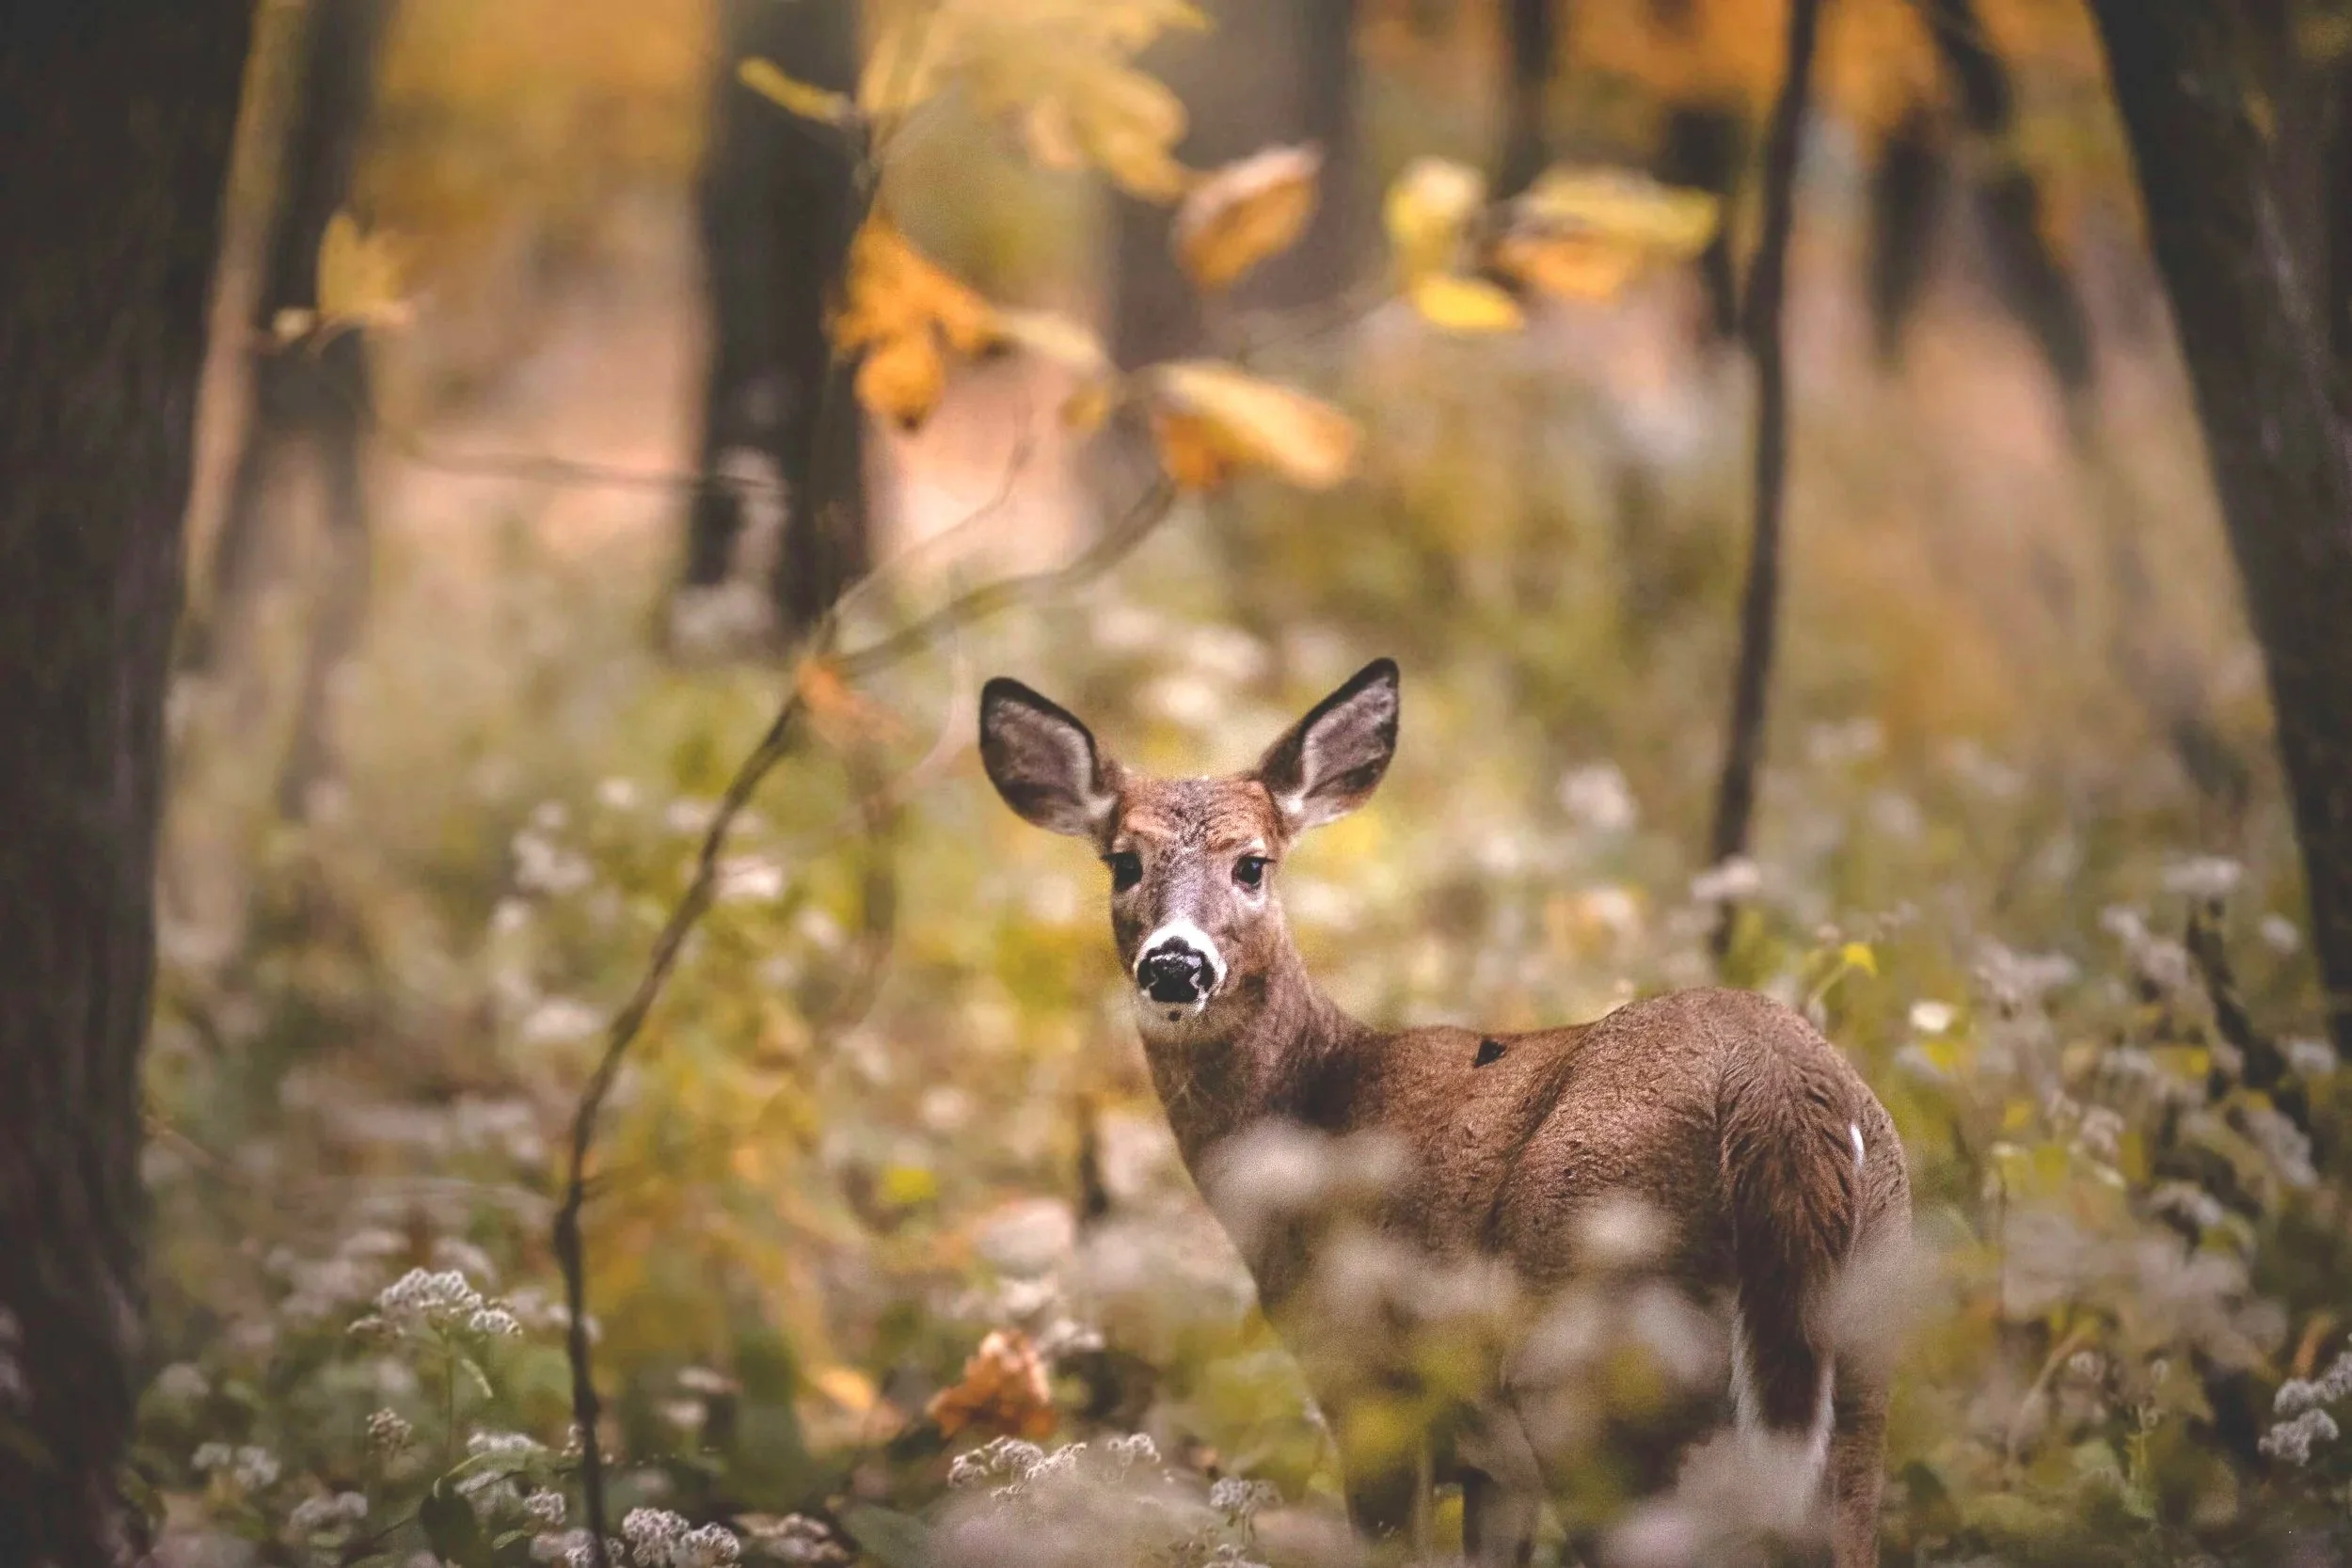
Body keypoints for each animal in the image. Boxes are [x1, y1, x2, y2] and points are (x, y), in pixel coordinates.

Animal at [978, 657, 1912, 1567]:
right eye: (1121, 862)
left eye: (1253, 863)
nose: (1175, 965)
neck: (1319, 1107)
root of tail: (1776, 1086)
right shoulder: (1495, 1465)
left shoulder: (1369, 1383)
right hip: (1862, 1368)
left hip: (1595, 1373)